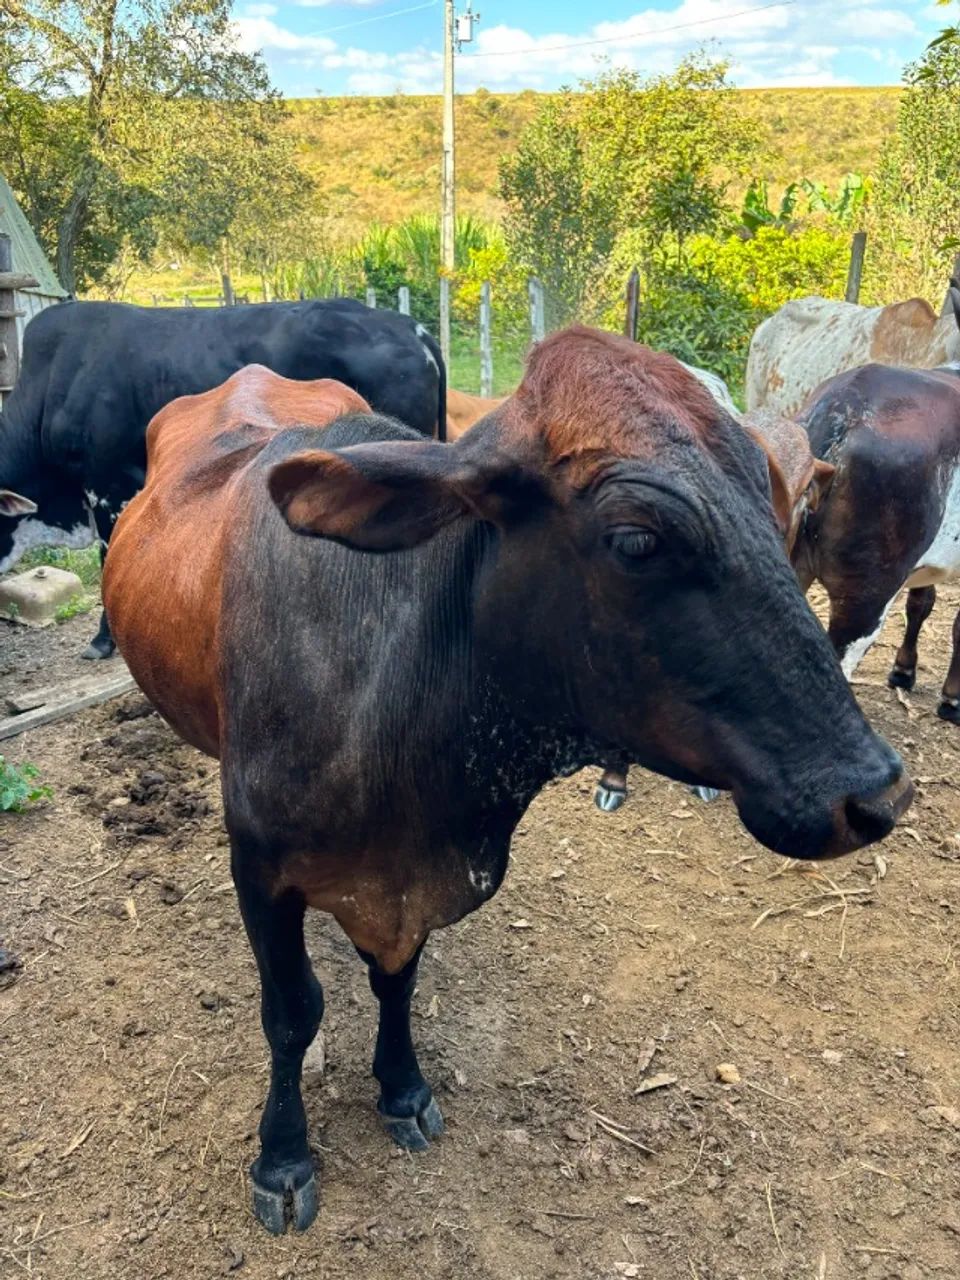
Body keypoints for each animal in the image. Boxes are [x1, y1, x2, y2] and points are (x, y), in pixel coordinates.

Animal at [101, 331, 910, 1235]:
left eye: (781, 515)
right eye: (637, 540)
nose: (875, 792)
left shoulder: (410, 886)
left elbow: (397, 977)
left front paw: (402, 1088)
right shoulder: (262, 870)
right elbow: (290, 1011)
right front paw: (282, 1157)